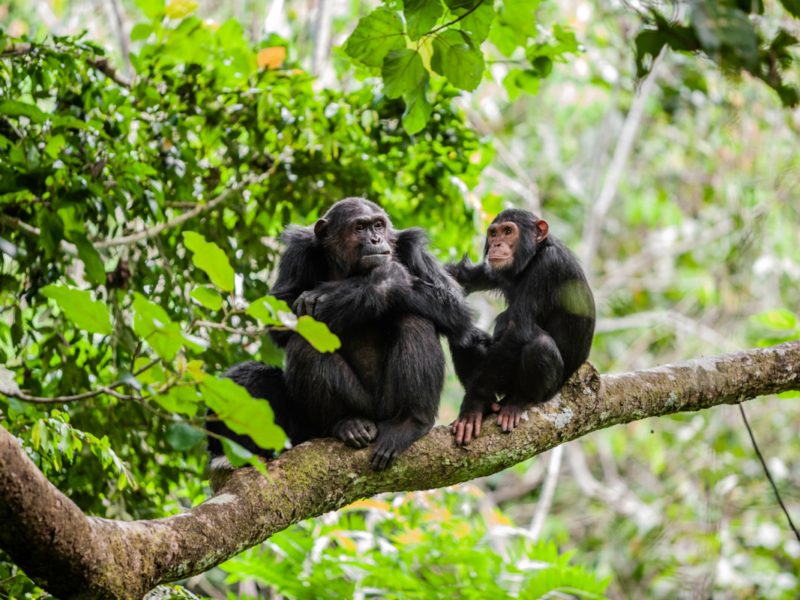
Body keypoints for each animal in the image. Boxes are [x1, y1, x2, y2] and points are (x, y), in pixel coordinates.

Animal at [208, 199, 482, 472]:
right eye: (360, 227)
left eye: (378, 225)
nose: (375, 239)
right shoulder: (297, 253)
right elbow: (279, 312)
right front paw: (382, 279)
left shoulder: (413, 249)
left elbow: (454, 306)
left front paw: (346, 289)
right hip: (332, 417)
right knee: (263, 366)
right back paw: (345, 423)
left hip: (387, 405)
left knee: (415, 320)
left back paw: (410, 422)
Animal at [450, 210, 592, 446]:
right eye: (494, 233)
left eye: (508, 231)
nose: (497, 243)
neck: (533, 256)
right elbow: (462, 279)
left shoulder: (548, 267)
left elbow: (518, 331)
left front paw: (472, 406)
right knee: (462, 337)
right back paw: (489, 405)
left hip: (549, 389)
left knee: (539, 345)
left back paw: (519, 402)